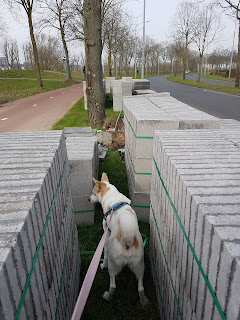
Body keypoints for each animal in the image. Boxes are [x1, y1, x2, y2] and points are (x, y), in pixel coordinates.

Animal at [88, 172, 147, 304]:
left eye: (93, 192)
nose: (88, 199)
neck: (113, 197)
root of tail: (128, 240)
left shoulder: (106, 235)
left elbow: (104, 254)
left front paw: (102, 265)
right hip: (140, 266)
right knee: (141, 287)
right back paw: (143, 300)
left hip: (113, 265)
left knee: (113, 285)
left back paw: (107, 296)